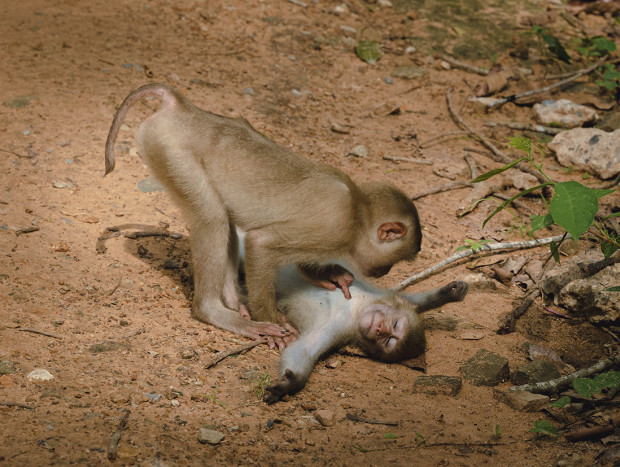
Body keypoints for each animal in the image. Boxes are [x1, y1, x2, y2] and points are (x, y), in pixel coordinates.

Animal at [106, 83, 424, 340]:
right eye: (393, 261)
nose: (384, 272)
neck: (358, 211)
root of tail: (183, 109)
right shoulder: (335, 228)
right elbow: (261, 244)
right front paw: (271, 319)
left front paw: (328, 274)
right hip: (171, 152)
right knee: (213, 219)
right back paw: (216, 311)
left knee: (224, 219)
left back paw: (234, 299)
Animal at [258, 262, 470, 404]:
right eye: (394, 324)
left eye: (389, 341)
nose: (380, 329)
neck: (358, 309)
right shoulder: (375, 296)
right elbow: (409, 300)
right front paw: (447, 293)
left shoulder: (340, 327)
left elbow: (303, 349)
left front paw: (290, 384)